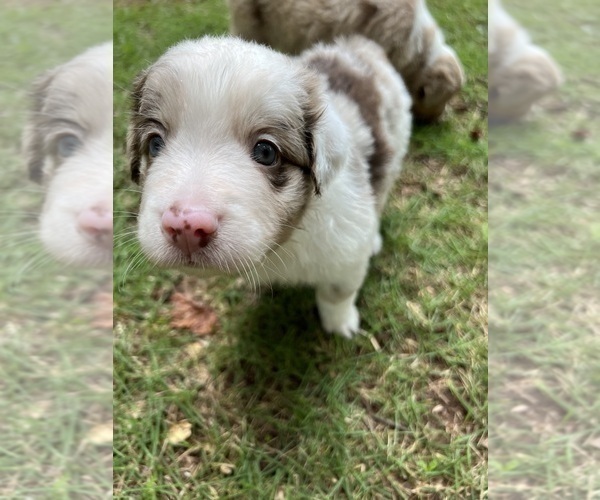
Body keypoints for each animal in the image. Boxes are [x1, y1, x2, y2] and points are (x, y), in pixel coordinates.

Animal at [124, 37, 410, 338]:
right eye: (155, 144)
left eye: (266, 152)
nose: (186, 228)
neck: (286, 240)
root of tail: (359, 45)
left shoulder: (346, 255)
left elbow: (336, 294)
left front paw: (341, 324)